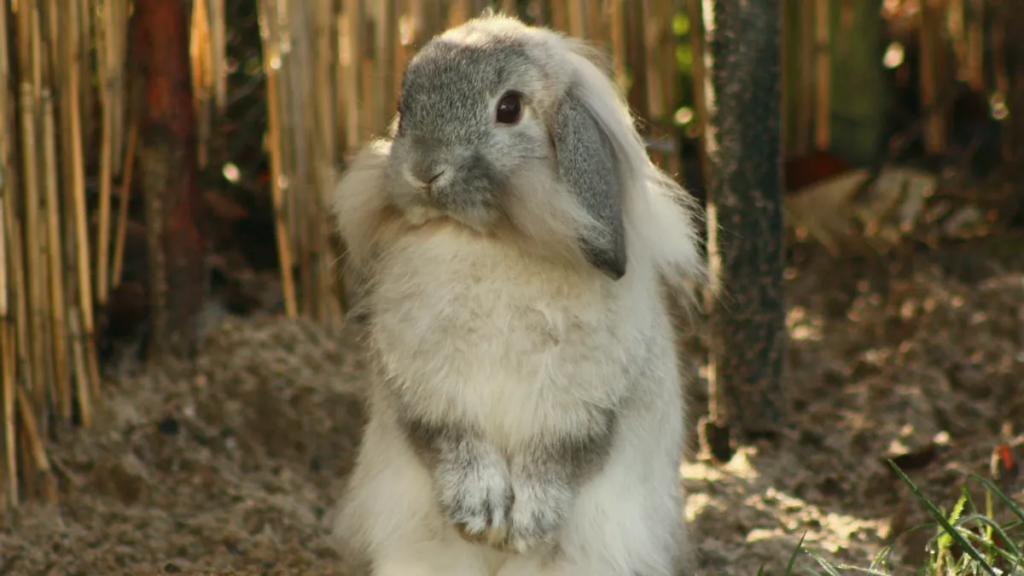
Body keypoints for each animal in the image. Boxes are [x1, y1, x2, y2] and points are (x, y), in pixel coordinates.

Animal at [327, 12, 707, 576]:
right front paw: (479, 515)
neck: (494, 241)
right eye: (401, 106)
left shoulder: (585, 408)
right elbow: (455, 444)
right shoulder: (429, 395)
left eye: (508, 108)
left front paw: (525, 526)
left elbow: (558, 460)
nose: (424, 171)